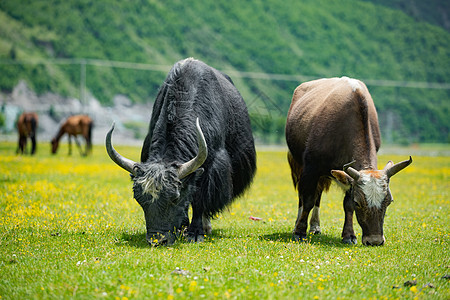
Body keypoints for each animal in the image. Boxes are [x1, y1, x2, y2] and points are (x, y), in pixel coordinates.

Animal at [103, 57, 255, 245]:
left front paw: (195, 233)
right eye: (138, 199)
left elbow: (199, 199)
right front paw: (183, 227)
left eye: (174, 198)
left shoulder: (210, 168)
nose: (157, 241)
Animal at [286, 76, 414, 245]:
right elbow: (307, 199)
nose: (375, 241)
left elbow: (347, 205)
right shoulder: (310, 169)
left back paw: (315, 227)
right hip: (299, 165)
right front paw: (299, 232)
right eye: (359, 202)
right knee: (304, 195)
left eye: (388, 201)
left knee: (318, 195)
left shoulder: (349, 179)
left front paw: (349, 235)